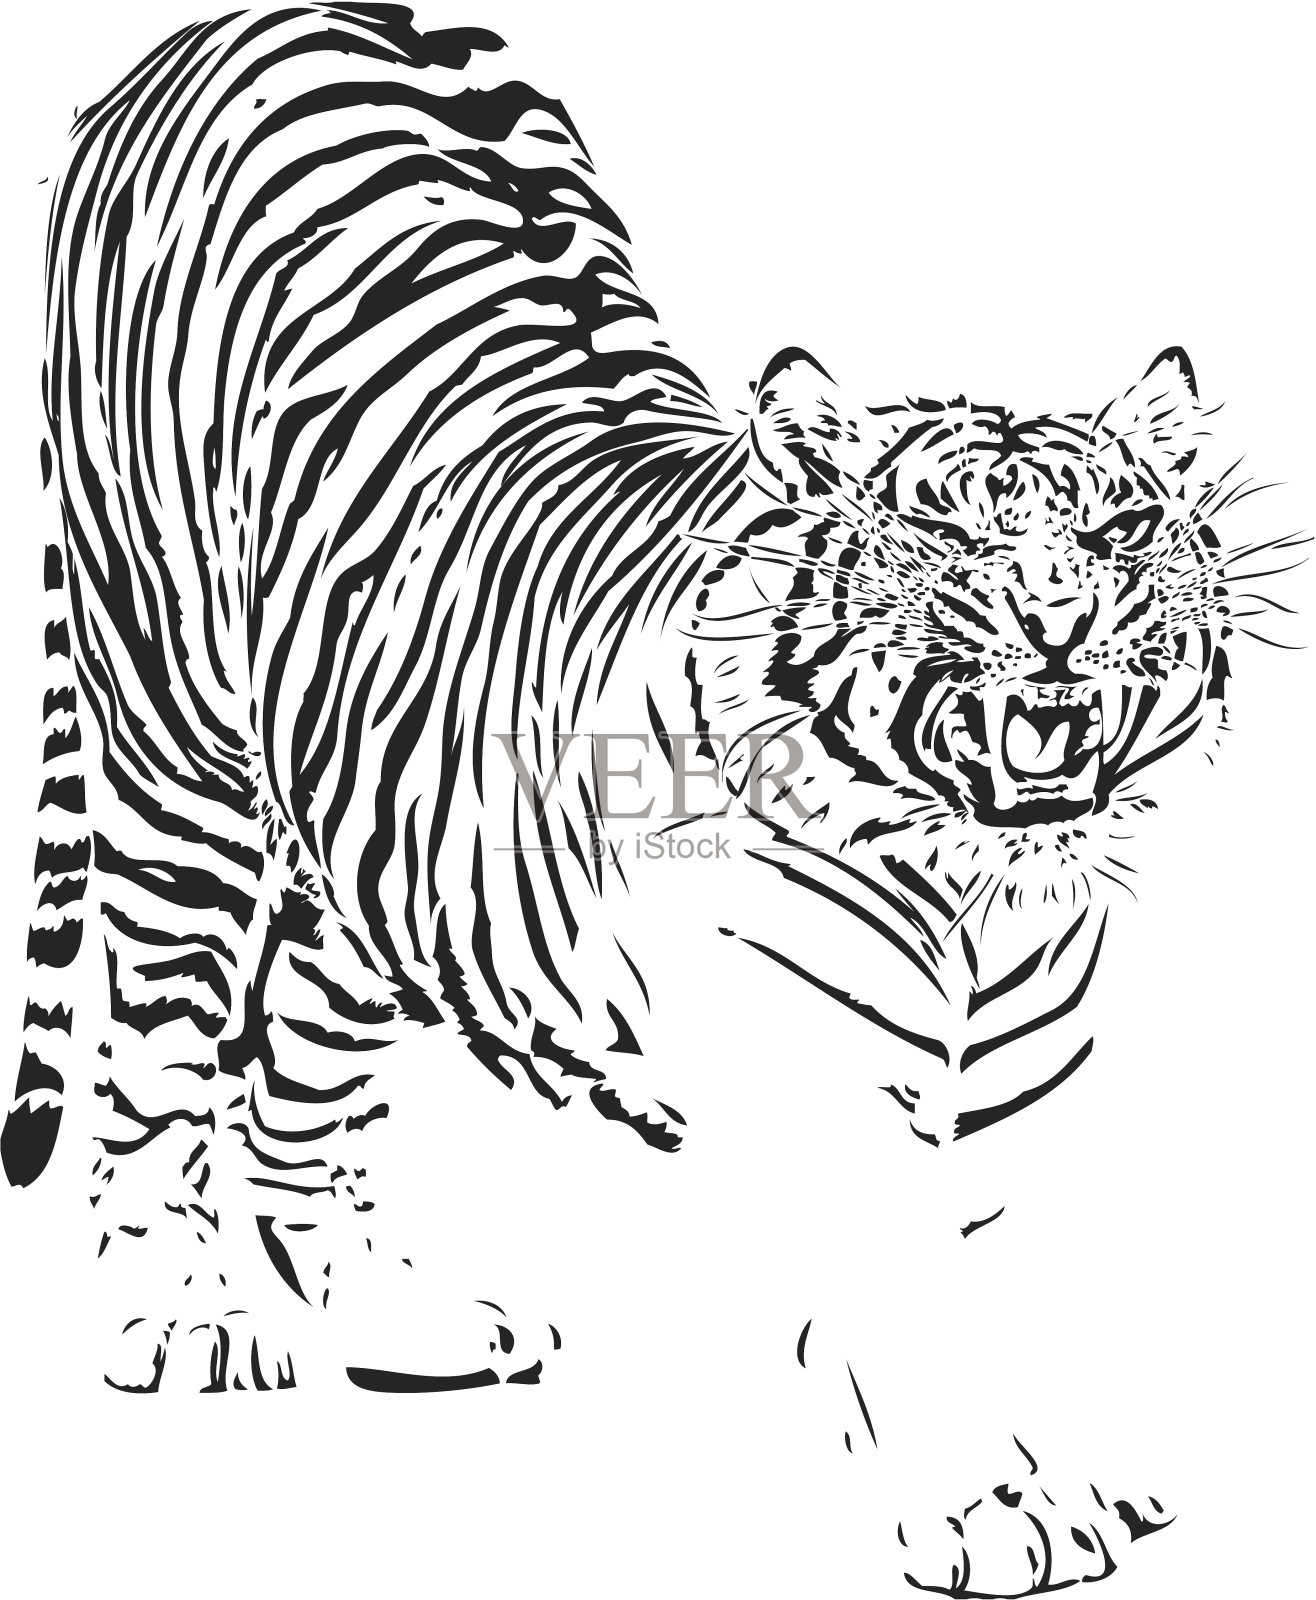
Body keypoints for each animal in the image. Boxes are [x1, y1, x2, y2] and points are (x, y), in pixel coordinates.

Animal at [2, 4, 1293, 1593]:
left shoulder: (1011, 1100)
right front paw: (986, 1509)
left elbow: (992, 1279)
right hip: (171, 747)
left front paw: (1067, 1469)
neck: (980, 886)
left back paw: (396, 1319)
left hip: (373, 833)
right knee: (156, 1047)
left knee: (300, 1080)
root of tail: (209, 30)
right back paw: (184, 1317)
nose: (1059, 619)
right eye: (938, 538)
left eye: (1114, 529)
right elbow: (898, 1297)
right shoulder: (822, 1099)